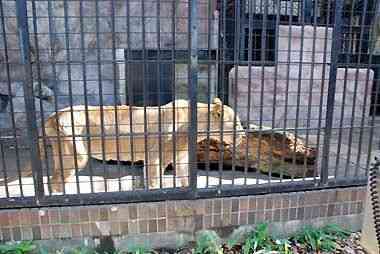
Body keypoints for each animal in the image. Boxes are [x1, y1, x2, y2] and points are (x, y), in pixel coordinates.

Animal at [34, 98, 243, 191]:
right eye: (236, 124)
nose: (242, 135)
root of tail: (53, 115)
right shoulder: (155, 157)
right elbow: (154, 181)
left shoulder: (181, 158)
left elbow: (186, 178)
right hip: (76, 154)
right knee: (54, 181)